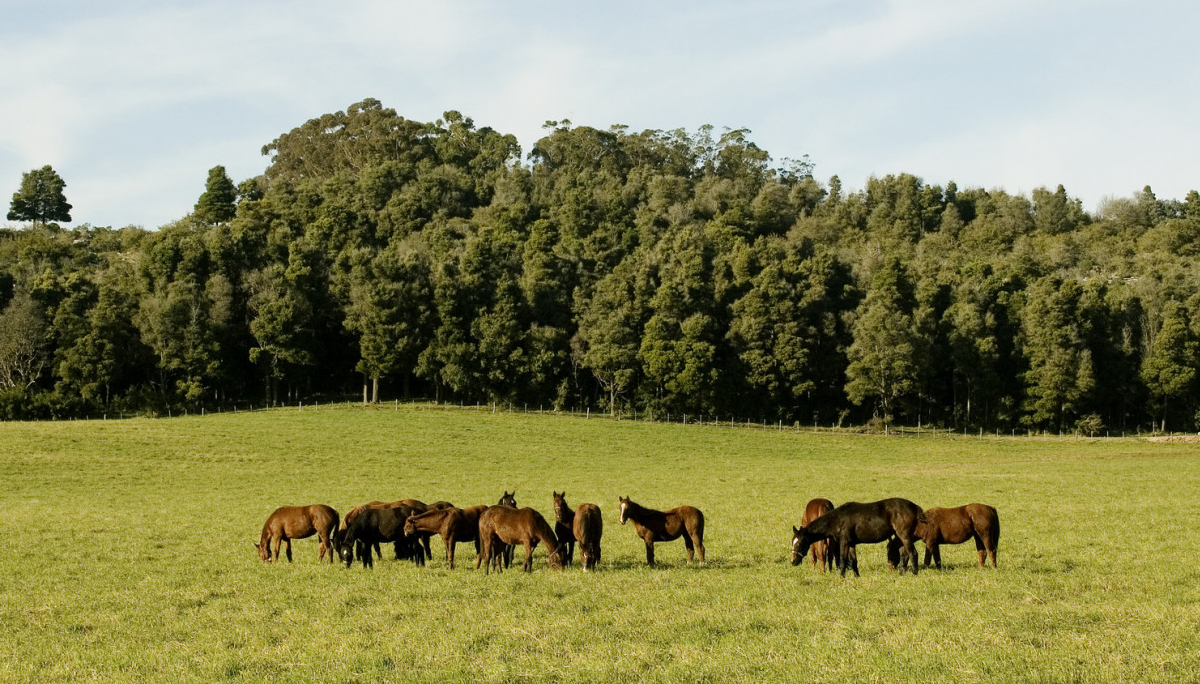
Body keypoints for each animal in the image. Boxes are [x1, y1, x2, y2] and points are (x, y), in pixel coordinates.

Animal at [792, 498, 924, 576]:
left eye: (799, 543)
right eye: (792, 542)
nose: (793, 561)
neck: (837, 519)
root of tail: (914, 507)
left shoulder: (844, 542)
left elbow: (843, 560)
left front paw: (842, 577)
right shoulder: (851, 543)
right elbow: (853, 560)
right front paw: (856, 576)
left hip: (905, 536)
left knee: (913, 554)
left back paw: (915, 573)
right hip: (900, 538)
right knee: (904, 555)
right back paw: (902, 573)